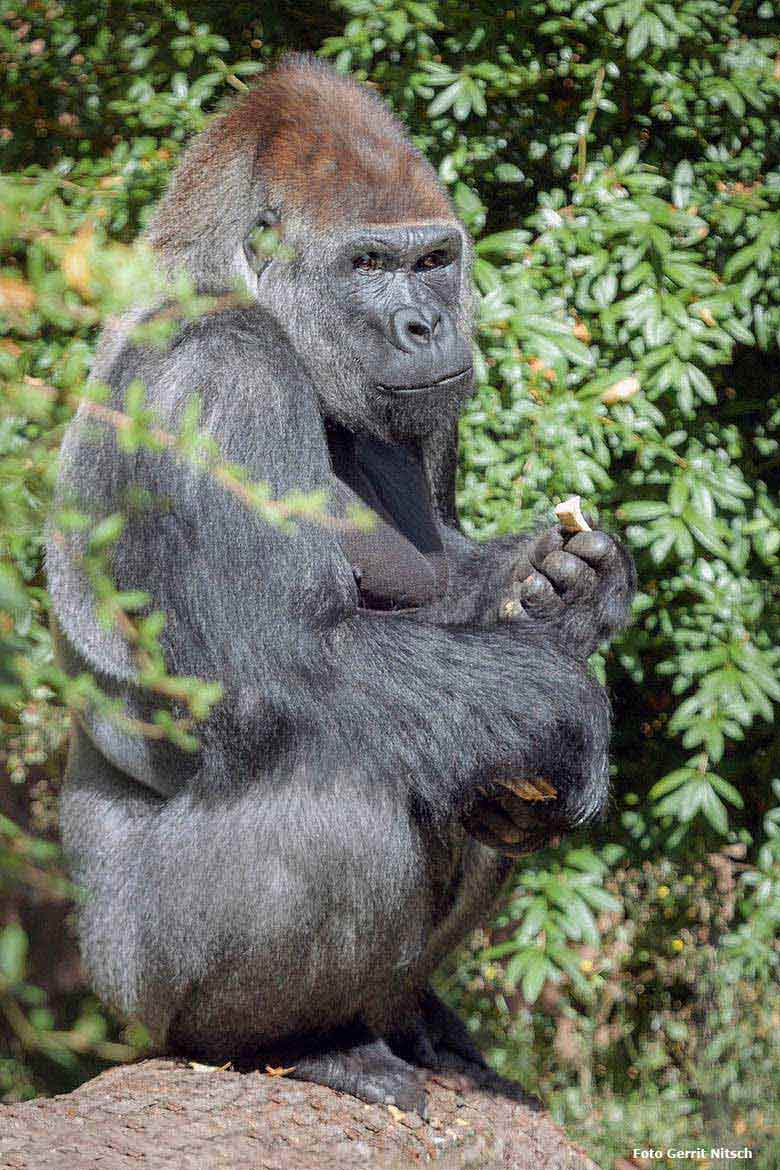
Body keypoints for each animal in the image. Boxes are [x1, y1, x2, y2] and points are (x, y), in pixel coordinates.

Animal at [47, 57, 636, 1113]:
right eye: (367, 265)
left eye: (435, 258)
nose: (425, 323)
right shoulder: (221, 382)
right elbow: (283, 666)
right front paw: (569, 706)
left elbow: (453, 601)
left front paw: (565, 581)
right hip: (142, 984)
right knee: (343, 776)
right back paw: (302, 1042)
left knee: (463, 758)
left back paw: (410, 1019)